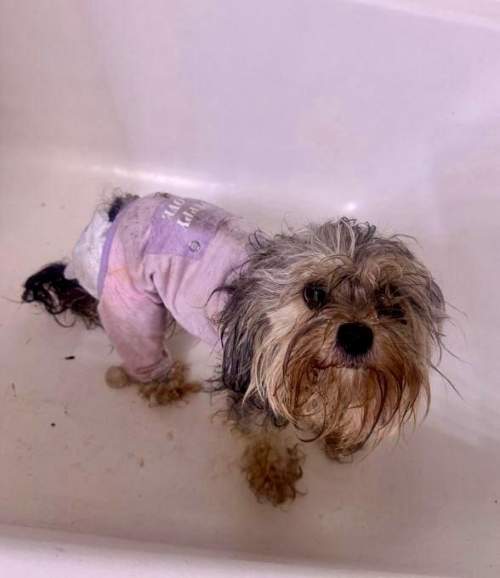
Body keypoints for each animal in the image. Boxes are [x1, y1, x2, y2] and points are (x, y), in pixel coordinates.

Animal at [22, 192, 447, 505]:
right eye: (314, 293)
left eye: (393, 305)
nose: (356, 335)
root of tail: (120, 208)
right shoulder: (250, 385)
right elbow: (264, 435)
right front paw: (274, 477)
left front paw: (340, 436)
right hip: (129, 300)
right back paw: (167, 383)